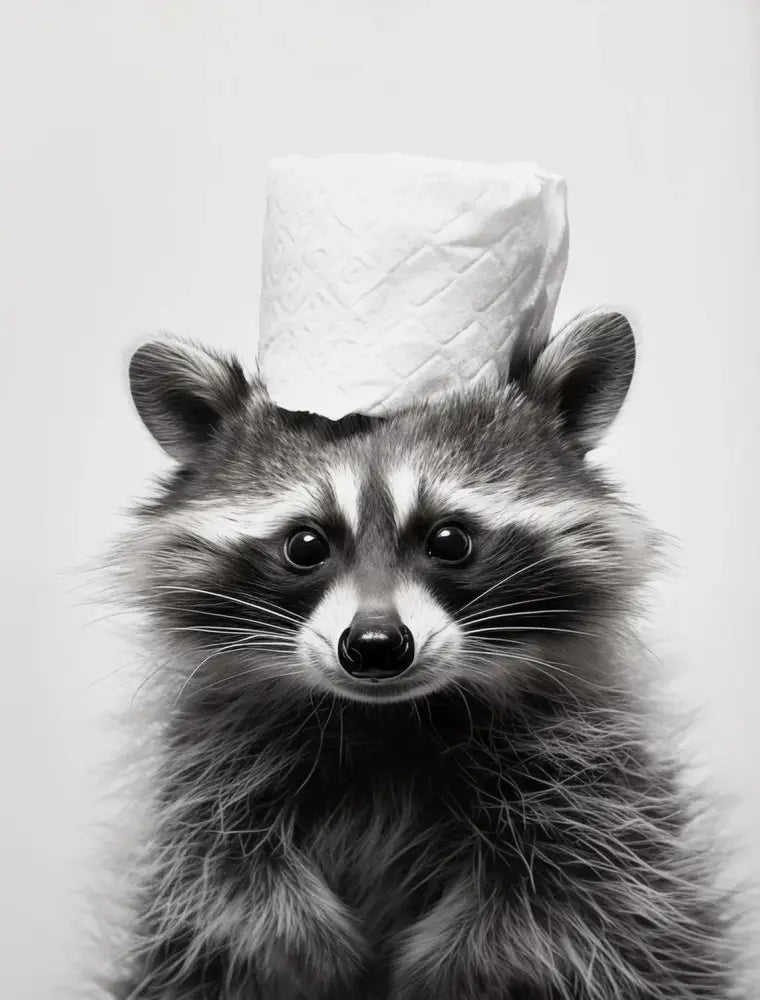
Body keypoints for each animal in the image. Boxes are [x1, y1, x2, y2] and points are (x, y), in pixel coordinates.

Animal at [105, 312, 742, 999]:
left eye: (449, 540)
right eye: (306, 546)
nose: (375, 647)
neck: (388, 715)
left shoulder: (589, 775)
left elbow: (567, 892)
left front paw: (448, 967)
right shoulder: (212, 762)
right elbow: (224, 874)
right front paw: (306, 945)